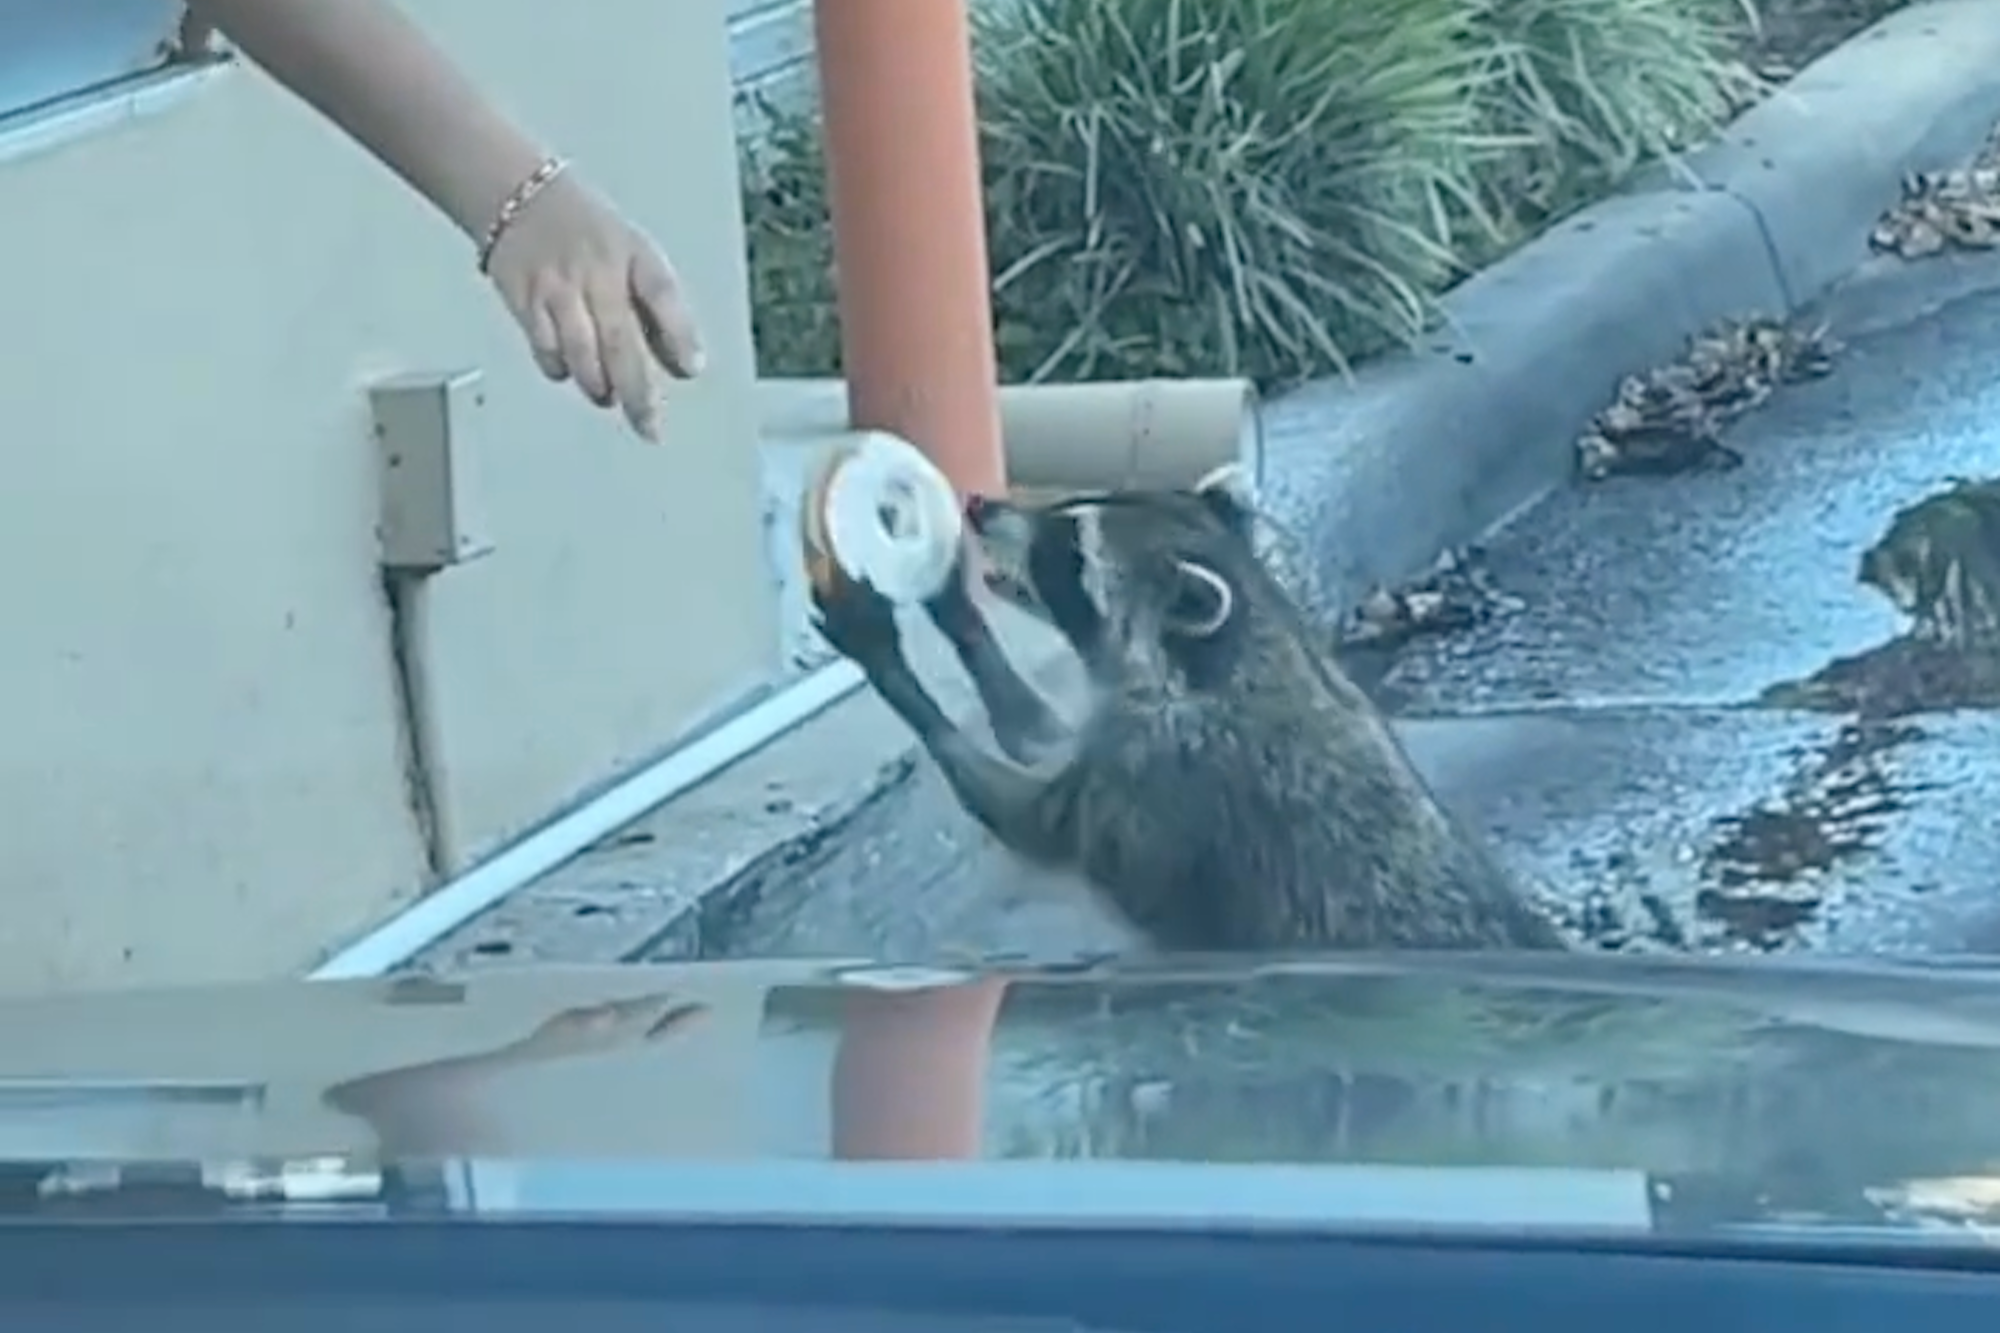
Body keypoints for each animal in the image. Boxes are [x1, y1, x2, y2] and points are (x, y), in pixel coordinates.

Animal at [812, 469, 1567, 953]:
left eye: (1070, 548)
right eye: (1088, 495)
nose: (978, 506)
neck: (1238, 658)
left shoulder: (1158, 782)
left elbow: (1021, 813)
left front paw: (901, 678)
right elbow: (1041, 735)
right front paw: (958, 616)